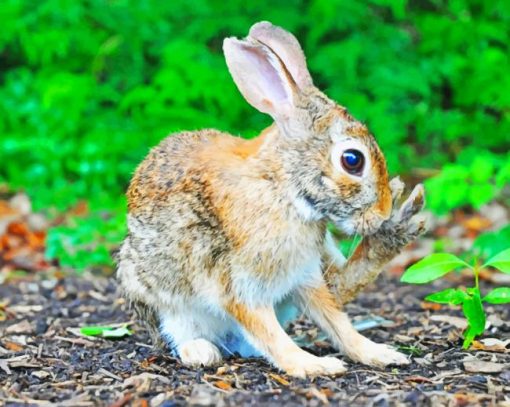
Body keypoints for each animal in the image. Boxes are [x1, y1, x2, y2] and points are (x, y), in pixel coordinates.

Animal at [116, 21, 426, 380]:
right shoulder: (239, 285)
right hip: (161, 299)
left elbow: (337, 322)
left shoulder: (305, 275)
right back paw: (201, 351)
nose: (381, 213)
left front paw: (378, 354)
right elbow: (270, 334)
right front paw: (313, 365)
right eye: (352, 160)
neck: (283, 187)